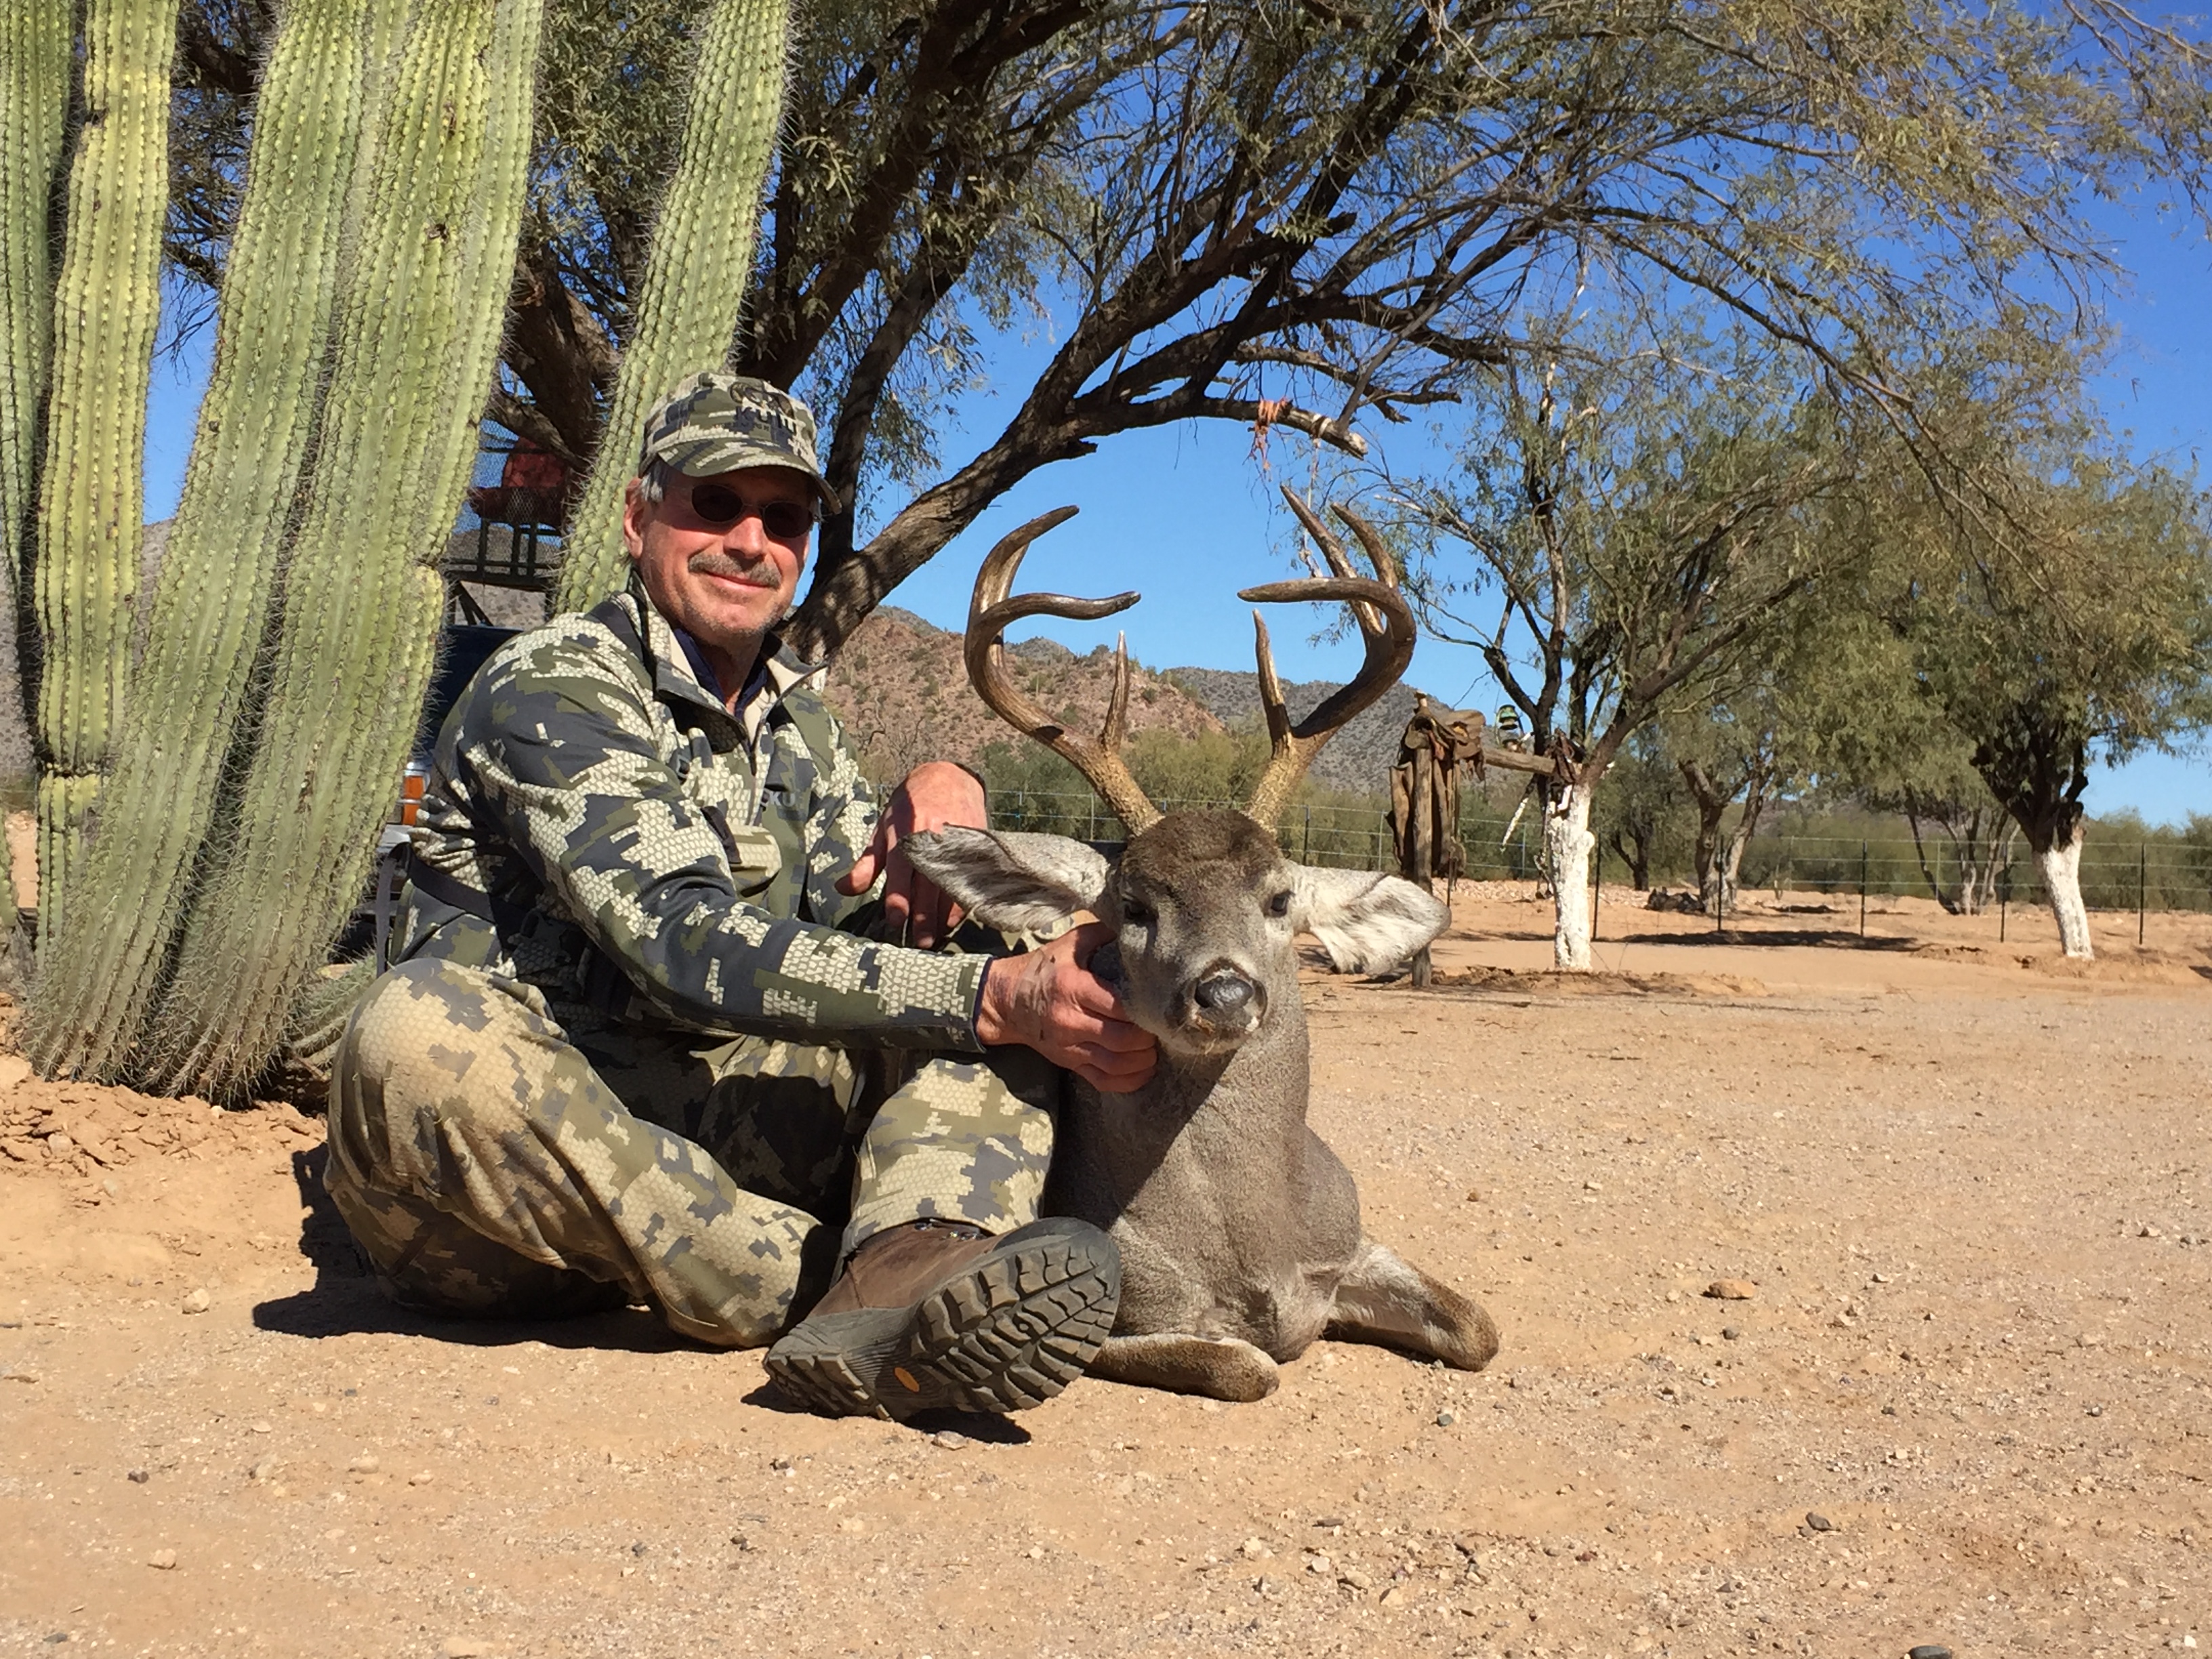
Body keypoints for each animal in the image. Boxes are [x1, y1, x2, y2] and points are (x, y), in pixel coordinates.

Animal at [902, 493, 1504, 1406]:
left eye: (1280, 899)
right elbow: (1244, 1367)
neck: (1255, 1252)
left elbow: (1479, 1328)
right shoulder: (1124, 1318)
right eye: (1132, 907)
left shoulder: (1351, 1248)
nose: (1223, 993)